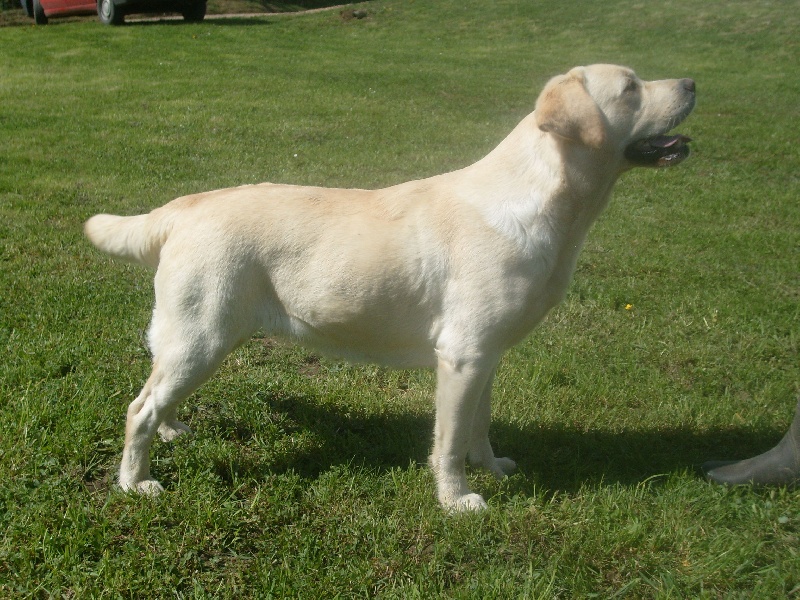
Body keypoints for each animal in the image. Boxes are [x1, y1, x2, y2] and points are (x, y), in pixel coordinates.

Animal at [85, 64, 695, 511]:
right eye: (631, 87)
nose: (692, 84)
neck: (547, 202)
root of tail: (185, 206)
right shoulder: (462, 355)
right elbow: (450, 440)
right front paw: (457, 500)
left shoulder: (487, 354)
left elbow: (480, 425)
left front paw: (492, 467)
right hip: (204, 335)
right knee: (138, 408)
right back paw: (135, 482)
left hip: (196, 339)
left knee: (158, 393)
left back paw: (173, 430)